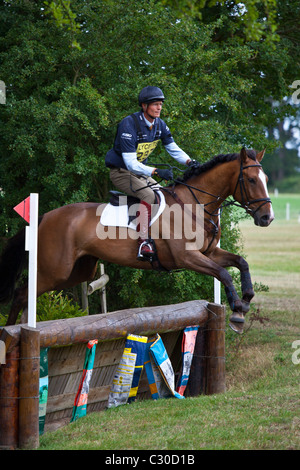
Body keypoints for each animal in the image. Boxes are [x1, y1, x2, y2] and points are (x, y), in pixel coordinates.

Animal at [0, 147, 274, 330]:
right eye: (251, 180)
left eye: (266, 180)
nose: (267, 218)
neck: (195, 205)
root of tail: (45, 216)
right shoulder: (187, 257)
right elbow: (224, 273)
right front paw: (237, 311)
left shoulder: (209, 253)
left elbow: (240, 263)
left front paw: (245, 301)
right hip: (55, 270)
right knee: (21, 294)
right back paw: (9, 334)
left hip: (78, 271)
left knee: (28, 296)